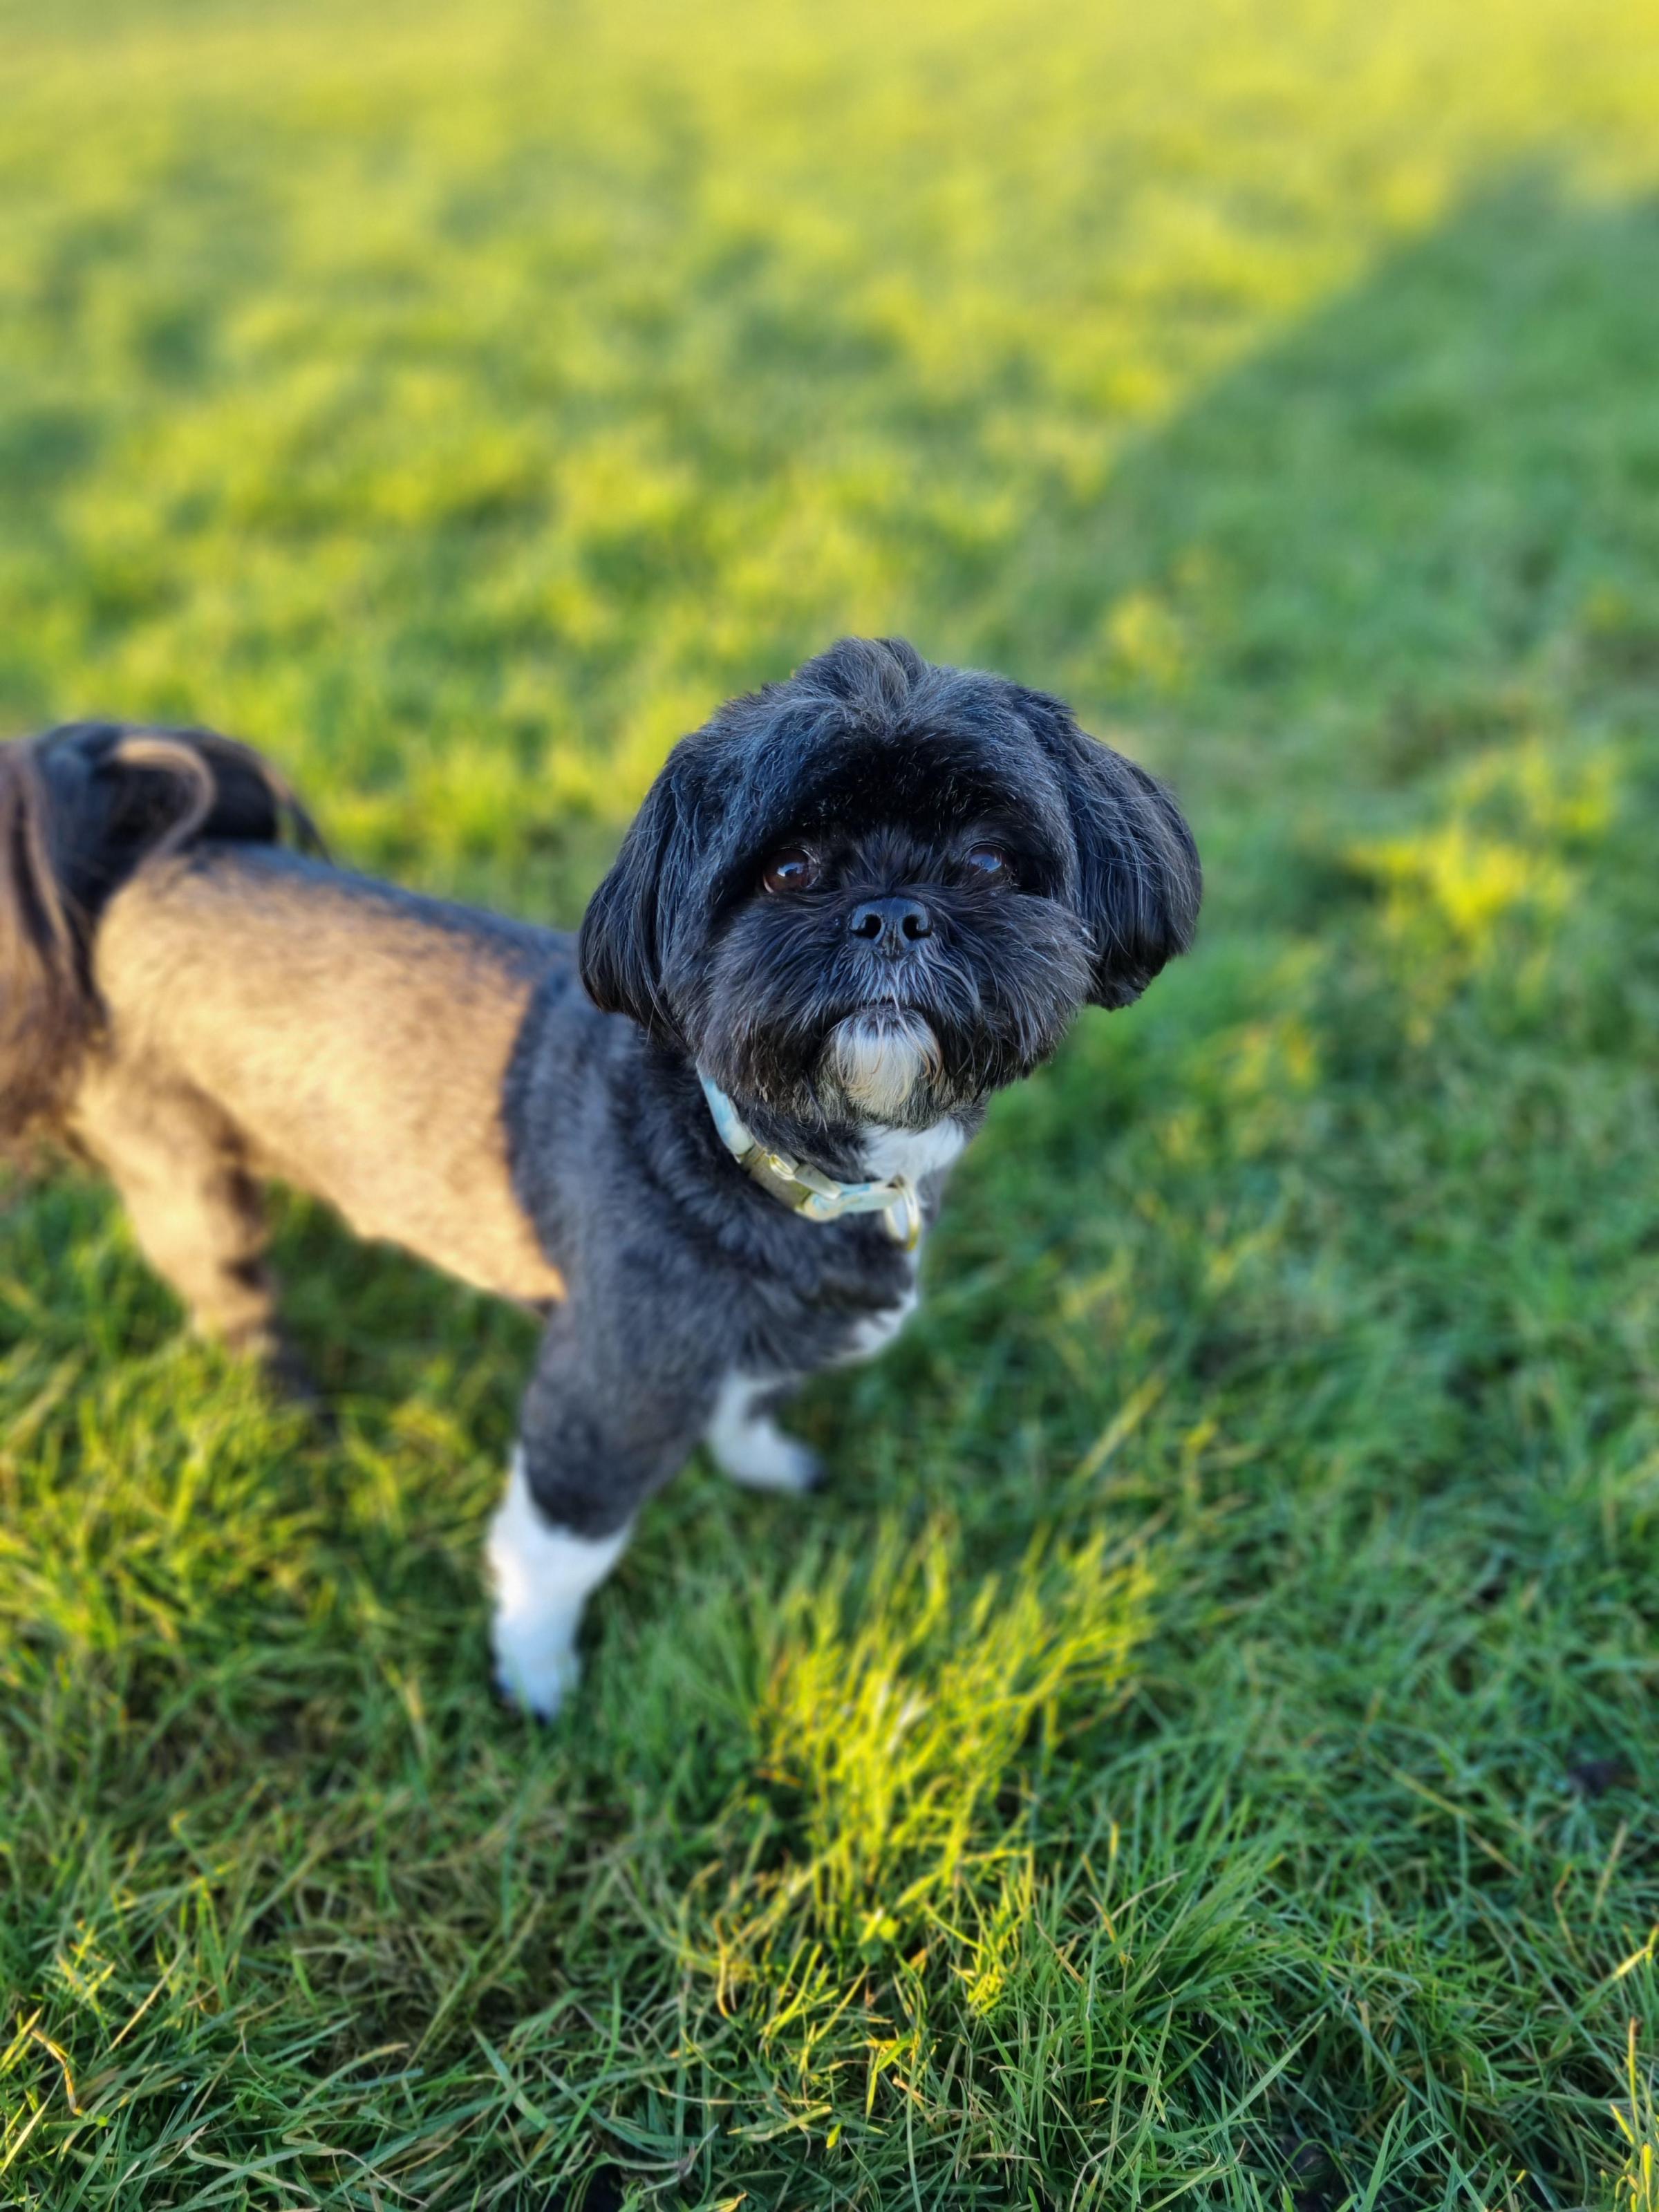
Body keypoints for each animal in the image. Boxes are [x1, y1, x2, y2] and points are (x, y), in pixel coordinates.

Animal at [0, 637, 1203, 1707]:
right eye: (788, 870)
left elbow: (746, 1397)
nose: (893, 913)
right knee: (232, 1299)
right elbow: (562, 1543)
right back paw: (295, 1410)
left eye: (991, 864)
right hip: (186, 1178)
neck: (760, 1148)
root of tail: (139, 870)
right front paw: (535, 1674)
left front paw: (761, 1462)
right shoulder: (614, 1378)